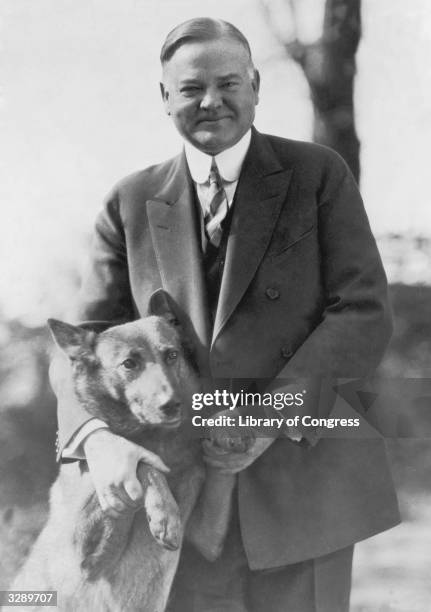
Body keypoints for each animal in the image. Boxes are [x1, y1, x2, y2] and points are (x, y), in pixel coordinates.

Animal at [11, 292, 253, 612]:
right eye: (129, 364)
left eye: (171, 355)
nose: (171, 405)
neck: (156, 438)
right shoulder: (84, 553)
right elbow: (143, 463)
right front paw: (165, 514)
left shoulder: (206, 536)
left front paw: (227, 426)